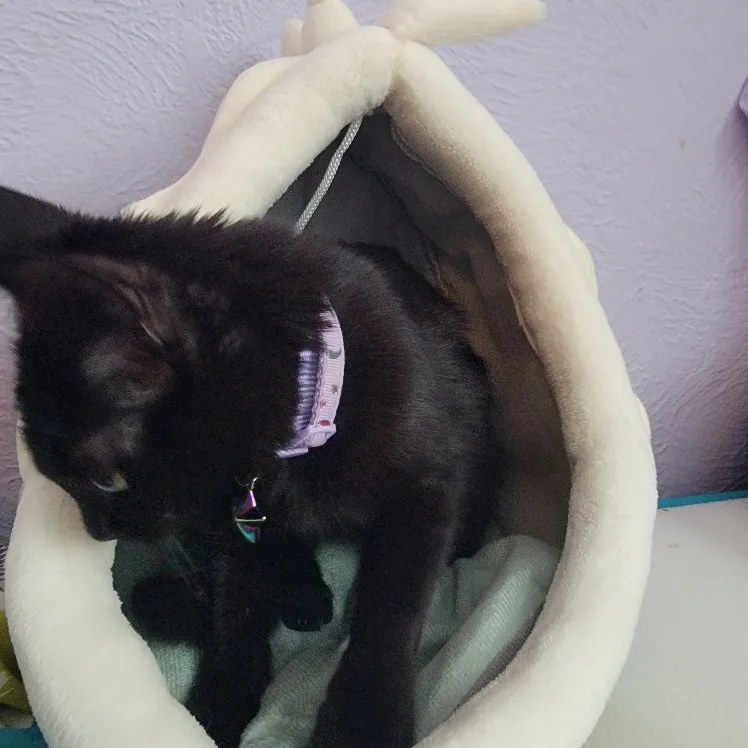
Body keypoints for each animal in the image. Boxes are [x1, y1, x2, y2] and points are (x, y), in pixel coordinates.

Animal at [0, 185, 499, 748]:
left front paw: (363, 721)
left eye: (107, 481)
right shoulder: (231, 514)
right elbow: (234, 608)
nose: (96, 532)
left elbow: (392, 608)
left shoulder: (427, 490)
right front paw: (221, 702)